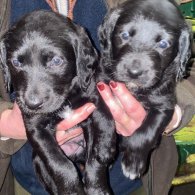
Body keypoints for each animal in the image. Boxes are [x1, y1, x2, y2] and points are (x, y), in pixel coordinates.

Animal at [0, 11, 116, 195]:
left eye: (56, 61)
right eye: (16, 63)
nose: (32, 105)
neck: (66, 98)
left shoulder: (93, 93)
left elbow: (96, 156)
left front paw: (99, 185)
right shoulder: (36, 128)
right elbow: (60, 164)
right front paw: (73, 191)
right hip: (38, 161)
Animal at [98, 0, 191, 180]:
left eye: (163, 44)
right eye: (124, 35)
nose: (134, 72)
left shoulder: (164, 106)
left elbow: (145, 132)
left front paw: (133, 164)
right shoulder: (99, 88)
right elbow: (103, 117)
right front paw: (104, 148)